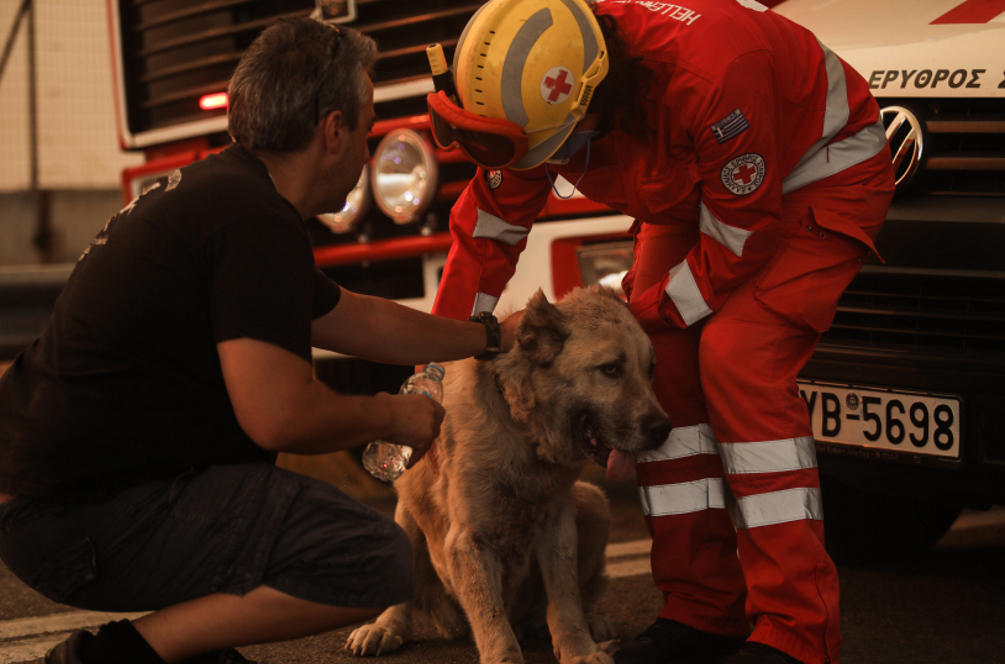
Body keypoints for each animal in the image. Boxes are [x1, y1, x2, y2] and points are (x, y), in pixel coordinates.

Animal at [349, 285, 671, 662]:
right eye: (610, 369)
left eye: (651, 368)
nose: (663, 430)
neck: (521, 429)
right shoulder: (468, 541)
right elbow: (492, 618)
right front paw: (506, 655)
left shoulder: (558, 523)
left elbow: (565, 600)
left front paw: (579, 649)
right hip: (406, 512)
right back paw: (384, 627)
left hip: (593, 503)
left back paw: (592, 624)